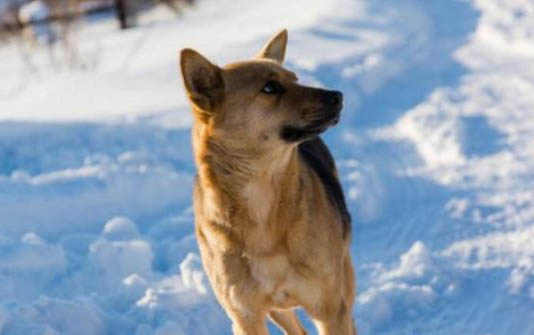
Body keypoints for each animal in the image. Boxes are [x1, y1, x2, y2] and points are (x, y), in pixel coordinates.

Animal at [179, 30, 356, 334]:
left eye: (295, 79)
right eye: (270, 88)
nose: (338, 96)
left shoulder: (330, 310)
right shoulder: (246, 317)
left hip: (344, 280)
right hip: (276, 311)